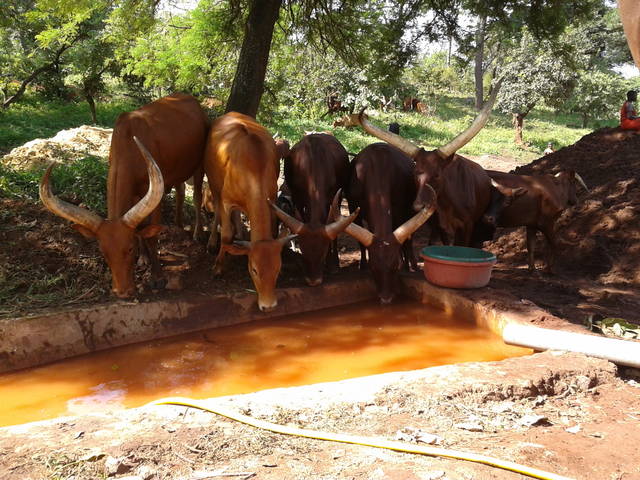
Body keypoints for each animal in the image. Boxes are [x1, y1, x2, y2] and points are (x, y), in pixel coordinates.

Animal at [39, 93, 208, 296]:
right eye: (103, 252)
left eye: (129, 249)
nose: (122, 291)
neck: (130, 147)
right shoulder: (136, 195)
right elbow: (140, 228)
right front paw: (143, 259)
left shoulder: (155, 197)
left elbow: (151, 236)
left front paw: (157, 277)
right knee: (181, 191)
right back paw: (178, 225)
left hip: (198, 167)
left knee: (197, 197)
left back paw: (198, 233)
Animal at [205, 111, 296, 312]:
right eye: (254, 269)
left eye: (277, 268)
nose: (268, 306)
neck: (252, 171)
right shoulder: (226, 200)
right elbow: (226, 235)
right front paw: (218, 266)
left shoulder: (271, 200)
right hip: (214, 184)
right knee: (217, 212)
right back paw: (212, 242)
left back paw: (240, 235)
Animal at [268, 133, 360, 286]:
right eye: (304, 252)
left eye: (322, 253)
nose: (313, 281)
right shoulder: (298, 198)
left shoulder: (331, 198)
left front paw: (332, 264)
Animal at [340, 141, 436, 304]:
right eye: (373, 266)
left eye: (395, 266)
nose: (386, 298)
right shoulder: (353, 208)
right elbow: (361, 244)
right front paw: (362, 265)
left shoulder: (399, 210)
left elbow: (405, 242)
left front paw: (405, 265)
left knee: (409, 242)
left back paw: (412, 265)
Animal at [358, 85, 502, 248]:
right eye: (415, 172)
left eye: (437, 175)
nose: (418, 206)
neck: (447, 204)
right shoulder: (441, 227)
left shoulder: (466, 226)